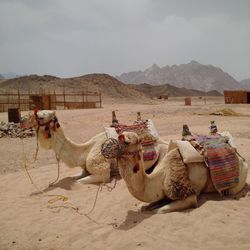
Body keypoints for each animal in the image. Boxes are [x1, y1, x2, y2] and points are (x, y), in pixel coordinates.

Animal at [21, 110, 169, 185]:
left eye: (40, 116)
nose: (21, 120)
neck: (85, 151)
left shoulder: (102, 172)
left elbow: (79, 182)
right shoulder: (84, 169)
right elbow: (75, 177)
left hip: (163, 152)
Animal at [116, 131, 248, 213]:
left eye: (136, 140)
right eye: (121, 137)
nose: (121, 136)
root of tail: (242, 158)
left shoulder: (189, 196)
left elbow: (159, 210)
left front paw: (157, 207)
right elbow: (142, 206)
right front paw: (145, 206)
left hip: (236, 185)